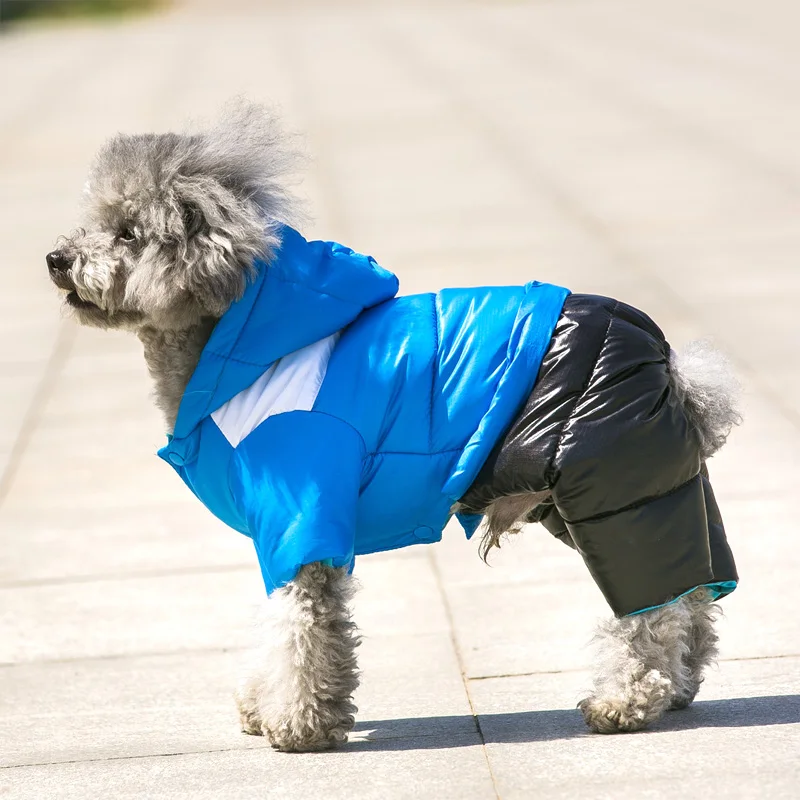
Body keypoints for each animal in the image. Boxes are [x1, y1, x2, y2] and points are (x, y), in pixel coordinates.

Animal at [47, 100, 740, 752]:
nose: (56, 258)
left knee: (648, 614)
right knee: (691, 595)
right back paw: (680, 685)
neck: (239, 339)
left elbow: (302, 627)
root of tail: (671, 364)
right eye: (93, 222)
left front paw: (301, 724)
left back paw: (627, 701)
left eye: (128, 232)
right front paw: (264, 704)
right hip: (635, 496)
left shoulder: (303, 508)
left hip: (612, 494)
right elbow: (275, 625)